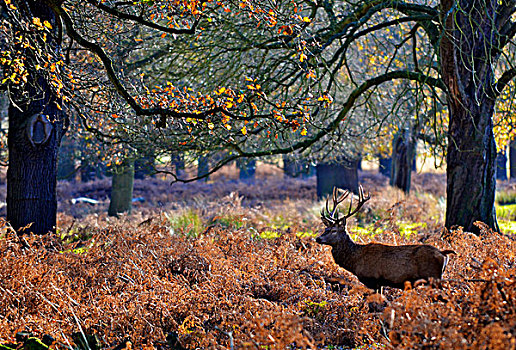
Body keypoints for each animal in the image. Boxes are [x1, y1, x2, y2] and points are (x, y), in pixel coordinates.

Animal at [314, 186, 456, 290]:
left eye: (334, 231)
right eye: (325, 229)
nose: (318, 239)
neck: (355, 261)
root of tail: (443, 253)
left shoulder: (372, 279)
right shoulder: (380, 283)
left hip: (433, 276)